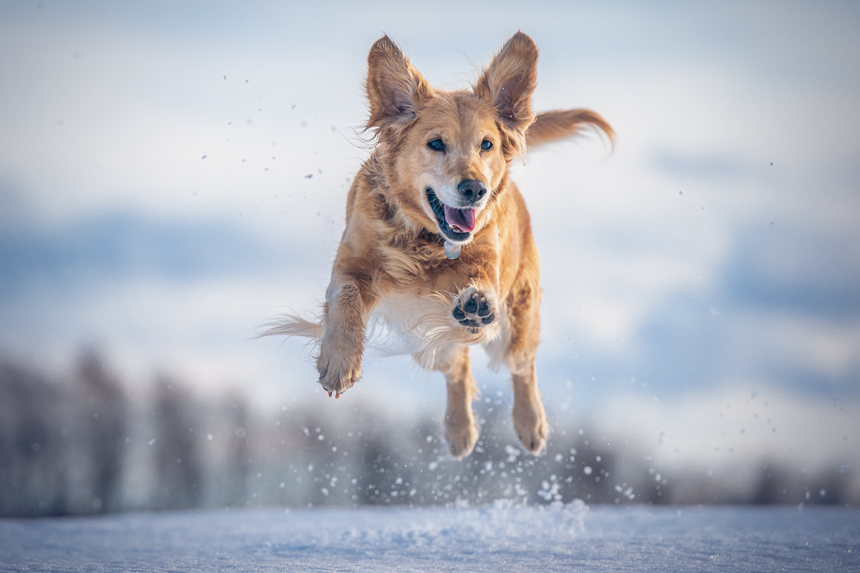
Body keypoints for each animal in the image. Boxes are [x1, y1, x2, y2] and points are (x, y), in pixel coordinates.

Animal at [262, 32, 612, 460]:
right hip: (429, 343)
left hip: (514, 321)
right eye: (436, 143)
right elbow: (345, 299)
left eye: (486, 144)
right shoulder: (350, 265)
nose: (475, 189)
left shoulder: (486, 263)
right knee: (458, 366)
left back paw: (530, 423)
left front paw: (476, 301)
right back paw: (460, 430)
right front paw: (339, 361)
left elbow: (481, 282)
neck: (425, 241)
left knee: (521, 363)